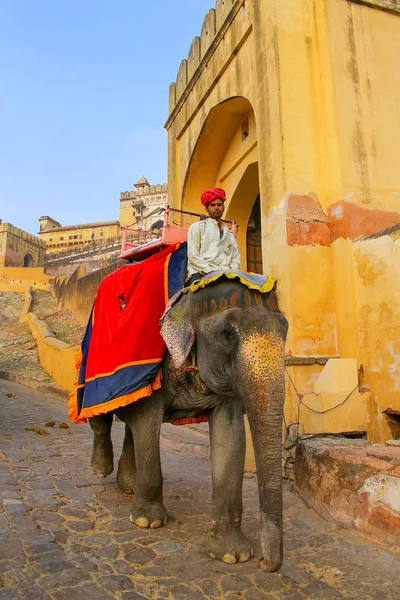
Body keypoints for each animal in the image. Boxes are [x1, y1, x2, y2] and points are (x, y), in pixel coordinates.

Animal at [88, 278, 288, 572]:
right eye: (227, 334)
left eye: (286, 330)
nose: (263, 563)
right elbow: (148, 422)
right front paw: (148, 522)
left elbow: (230, 436)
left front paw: (233, 555)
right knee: (102, 417)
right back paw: (101, 470)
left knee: (130, 428)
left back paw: (129, 487)